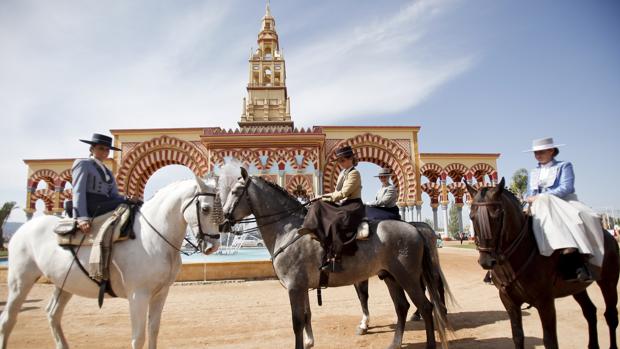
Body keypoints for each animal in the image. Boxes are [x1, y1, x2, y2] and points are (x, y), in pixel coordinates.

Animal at [0, 177, 223, 348]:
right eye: (205, 208)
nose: (213, 246)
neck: (153, 236)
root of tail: (23, 229)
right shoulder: (138, 295)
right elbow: (138, 338)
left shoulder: (161, 293)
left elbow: (153, 331)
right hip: (20, 280)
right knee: (8, 320)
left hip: (64, 283)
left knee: (52, 314)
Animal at [223, 167, 450, 346]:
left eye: (235, 191)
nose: (224, 219)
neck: (289, 230)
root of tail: (414, 229)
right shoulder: (302, 286)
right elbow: (307, 315)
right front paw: (310, 341)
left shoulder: (294, 287)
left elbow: (297, 323)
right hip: (391, 276)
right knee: (402, 307)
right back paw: (394, 343)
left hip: (408, 277)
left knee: (426, 307)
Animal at [468, 179, 616, 348]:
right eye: (472, 216)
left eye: (497, 215)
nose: (486, 261)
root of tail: (608, 236)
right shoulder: (509, 301)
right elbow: (518, 336)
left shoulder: (545, 301)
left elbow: (550, 340)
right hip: (577, 288)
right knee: (590, 311)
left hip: (609, 281)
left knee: (611, 315)